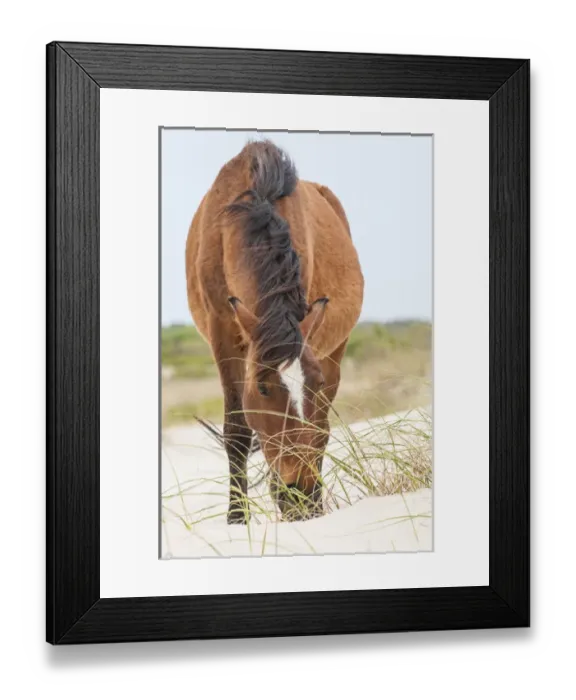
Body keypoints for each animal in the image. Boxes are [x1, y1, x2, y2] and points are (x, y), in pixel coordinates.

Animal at [185, 139, 364, 523]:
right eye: (264, 389)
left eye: (315, 383)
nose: (299, 491)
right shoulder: (223, 333)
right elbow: (237, 431)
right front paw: (237, 519)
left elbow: (314, 429)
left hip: (335, 350)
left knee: (322, 429)